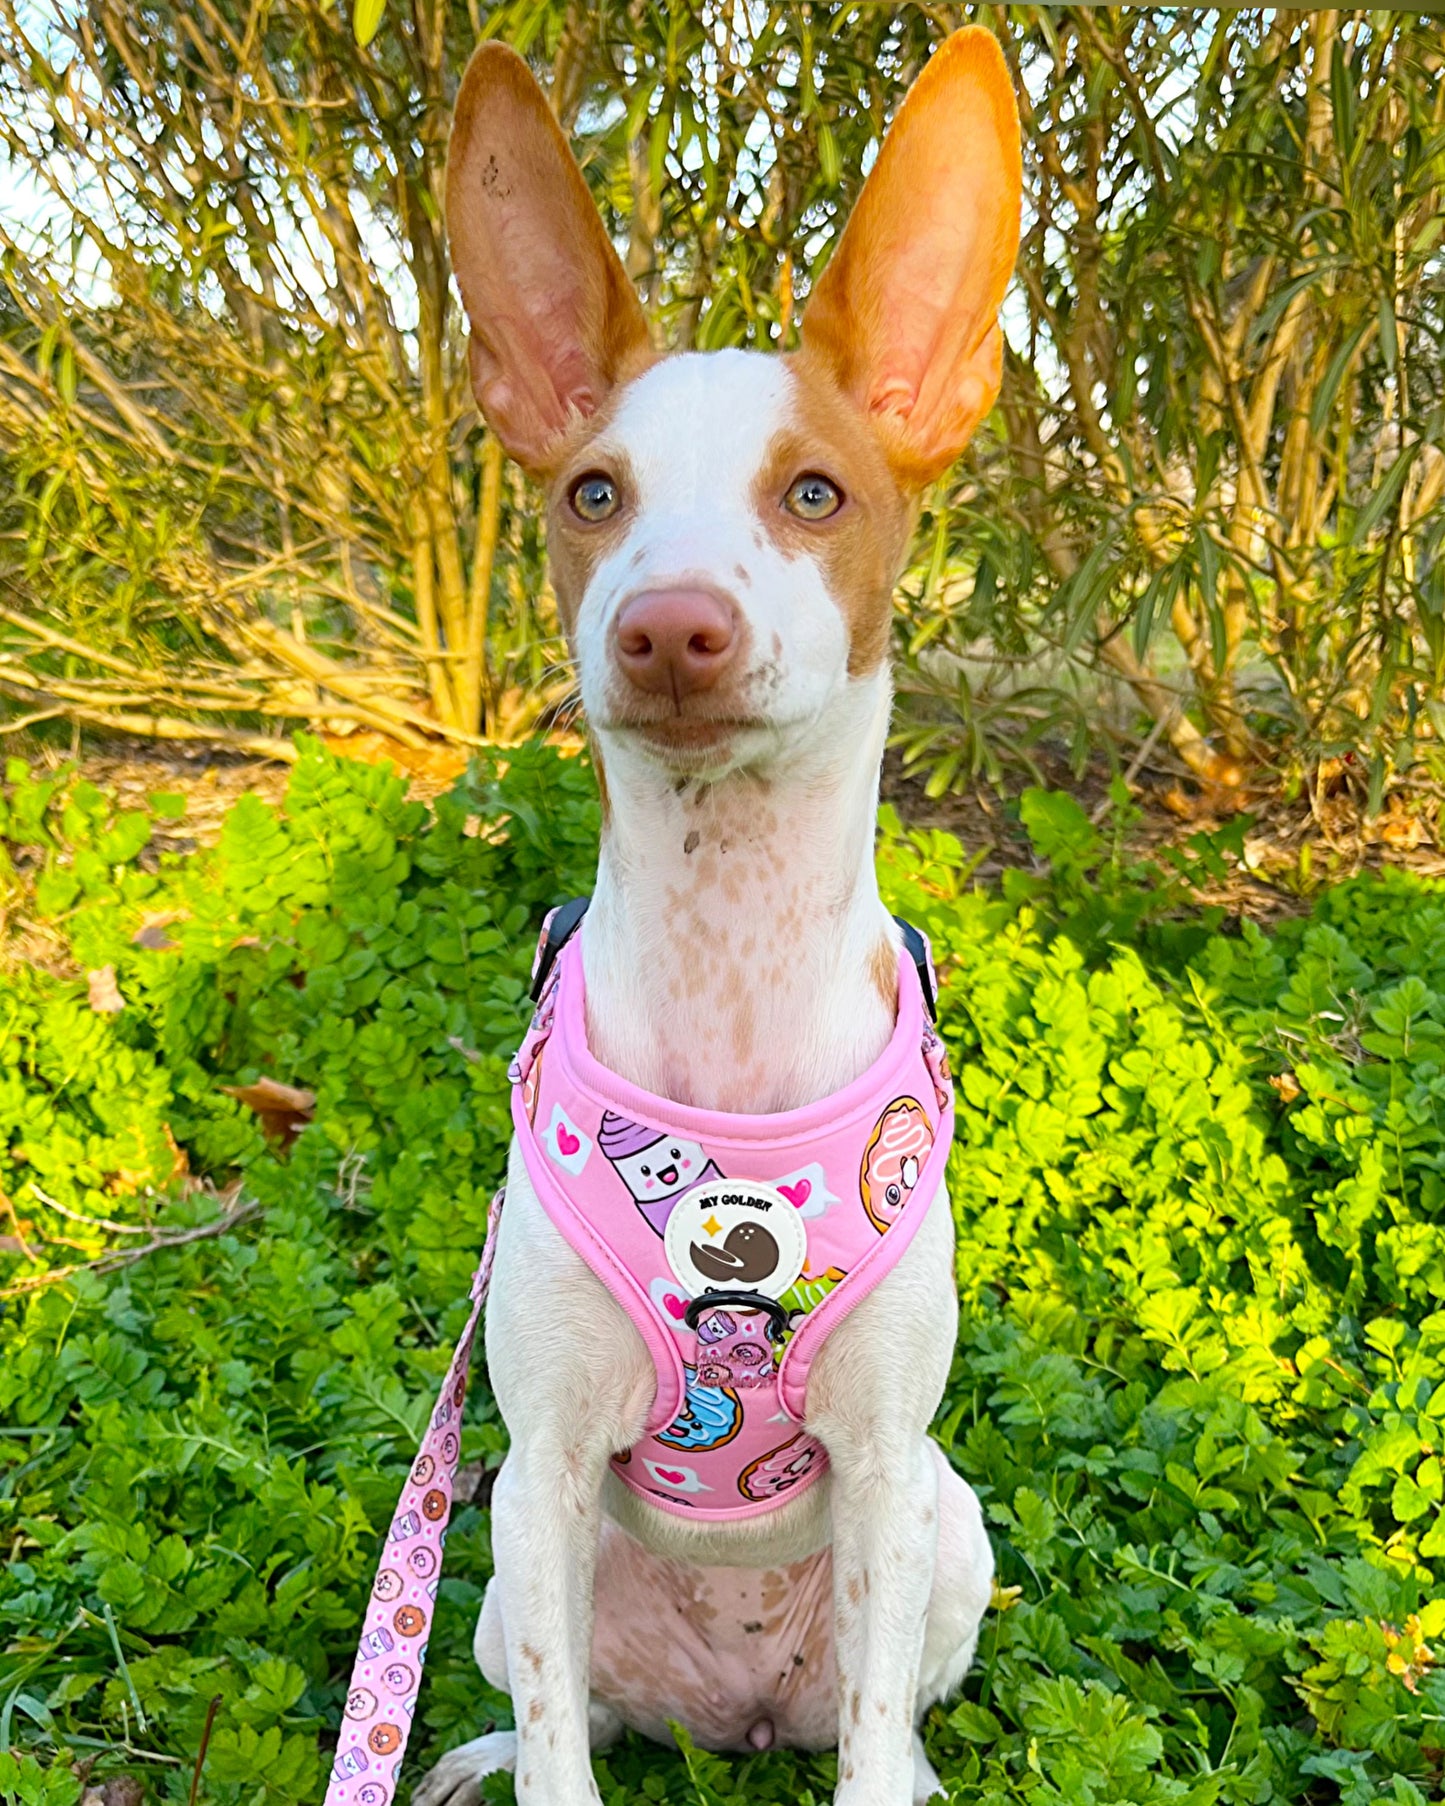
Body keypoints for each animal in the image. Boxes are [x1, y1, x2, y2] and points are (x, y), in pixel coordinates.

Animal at [418, 28, 1021, 1806]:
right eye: (591, 494)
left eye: (816, 491)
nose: (669, 626)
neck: (730, 960)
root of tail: (734, 1707)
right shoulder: (539, 1456)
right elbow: (562, 1749)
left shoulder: (886, 1460)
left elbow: (879, 1746)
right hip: (497, 1560)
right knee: (569, 1705)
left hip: (949, 1523)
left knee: (890, 1718)